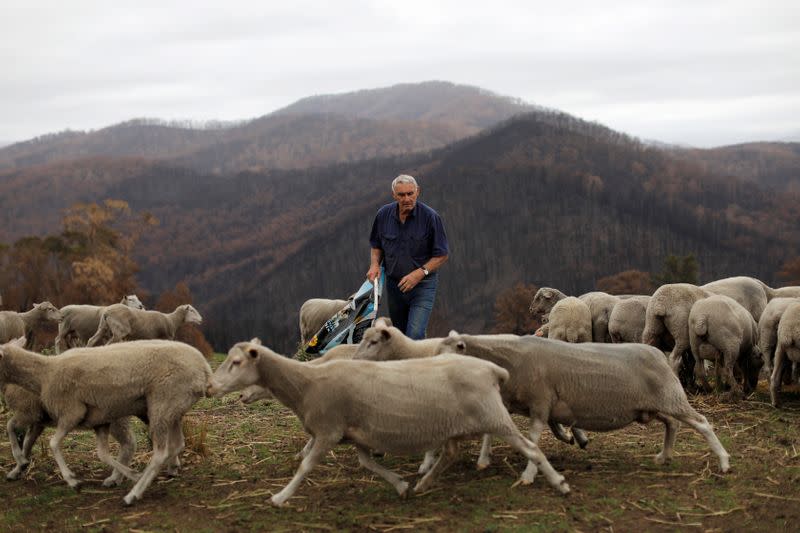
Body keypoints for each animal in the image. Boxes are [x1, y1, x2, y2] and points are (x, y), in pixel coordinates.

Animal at [0, 336, 211, 502]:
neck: (45, 373)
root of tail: (204, 369)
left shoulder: (70, 413)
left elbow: (50, 442)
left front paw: (72, 480)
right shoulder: (97, 420)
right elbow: (102, 453)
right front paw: (20, 465)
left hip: (162, 403)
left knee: (158, 451)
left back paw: (133, 494)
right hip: (171, 409)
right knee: (175, 444)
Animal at [206, 338, 568, 504]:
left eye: (236, 362)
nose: (209, 387)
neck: (306, 383)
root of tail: (492, 369)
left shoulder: (328, 430)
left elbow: (306, 466)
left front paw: (280, 497)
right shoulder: (355, 434)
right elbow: (369, 465)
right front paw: (401, 485)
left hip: (494, 417)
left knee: (532, 449)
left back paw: (557, 482)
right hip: (456, 424)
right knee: (450, 455)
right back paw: (423, 484)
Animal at [438, 330, 732, 480]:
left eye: (456, 349)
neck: (510, 359)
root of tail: (661, 355)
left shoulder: (540, 403)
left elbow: (533, 439)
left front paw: (528, 475)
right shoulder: (513, 401)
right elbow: (492, 430)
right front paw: (483, 461)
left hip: (672, 398)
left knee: (703, 423)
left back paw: (724, 462)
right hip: (652, 408)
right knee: (672, 424)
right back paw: (664, 456)